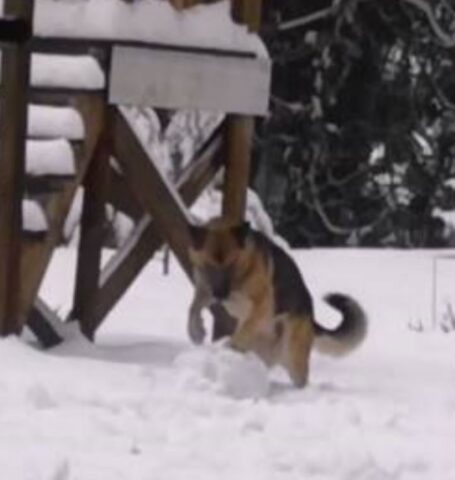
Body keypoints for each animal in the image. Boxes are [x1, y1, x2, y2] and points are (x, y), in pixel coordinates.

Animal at [186, 218, 366, 386]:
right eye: (208, 265)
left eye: (232, 264)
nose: (221, 295)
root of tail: (311, 318)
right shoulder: (204, 289)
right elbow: (193, 307)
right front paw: (196, 330)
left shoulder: (262, 305)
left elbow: (244, 329)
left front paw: (230, 346)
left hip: (293, 357)